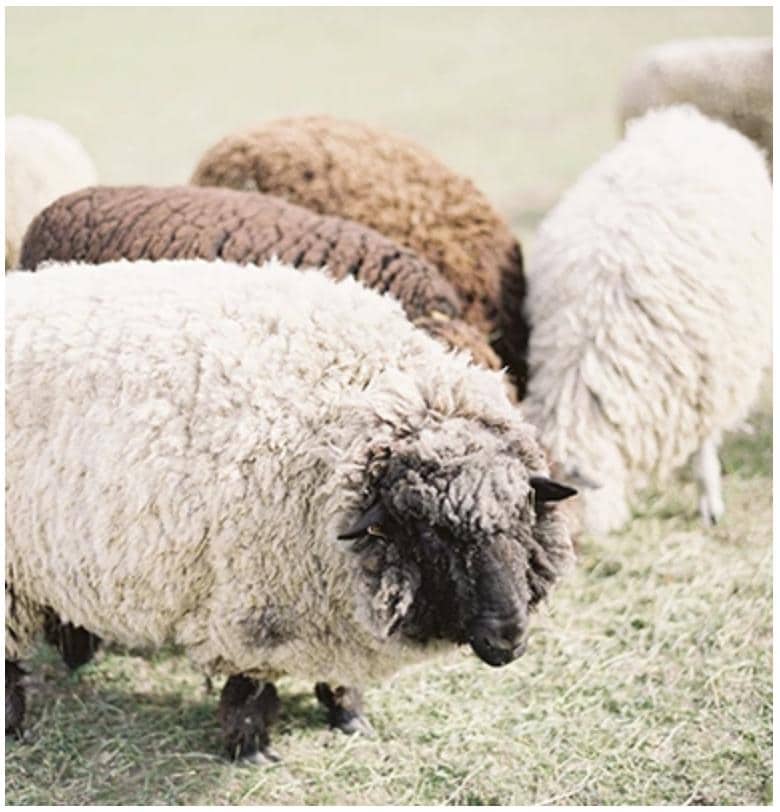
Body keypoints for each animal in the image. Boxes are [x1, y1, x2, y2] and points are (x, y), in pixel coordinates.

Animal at [6, 258, 577, 760]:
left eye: (524, 515)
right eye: (432, 532)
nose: (508, 638)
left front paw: (348, 714)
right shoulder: (256, 604)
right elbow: (251, 686)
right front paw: (250, 746)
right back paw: (13, 724)